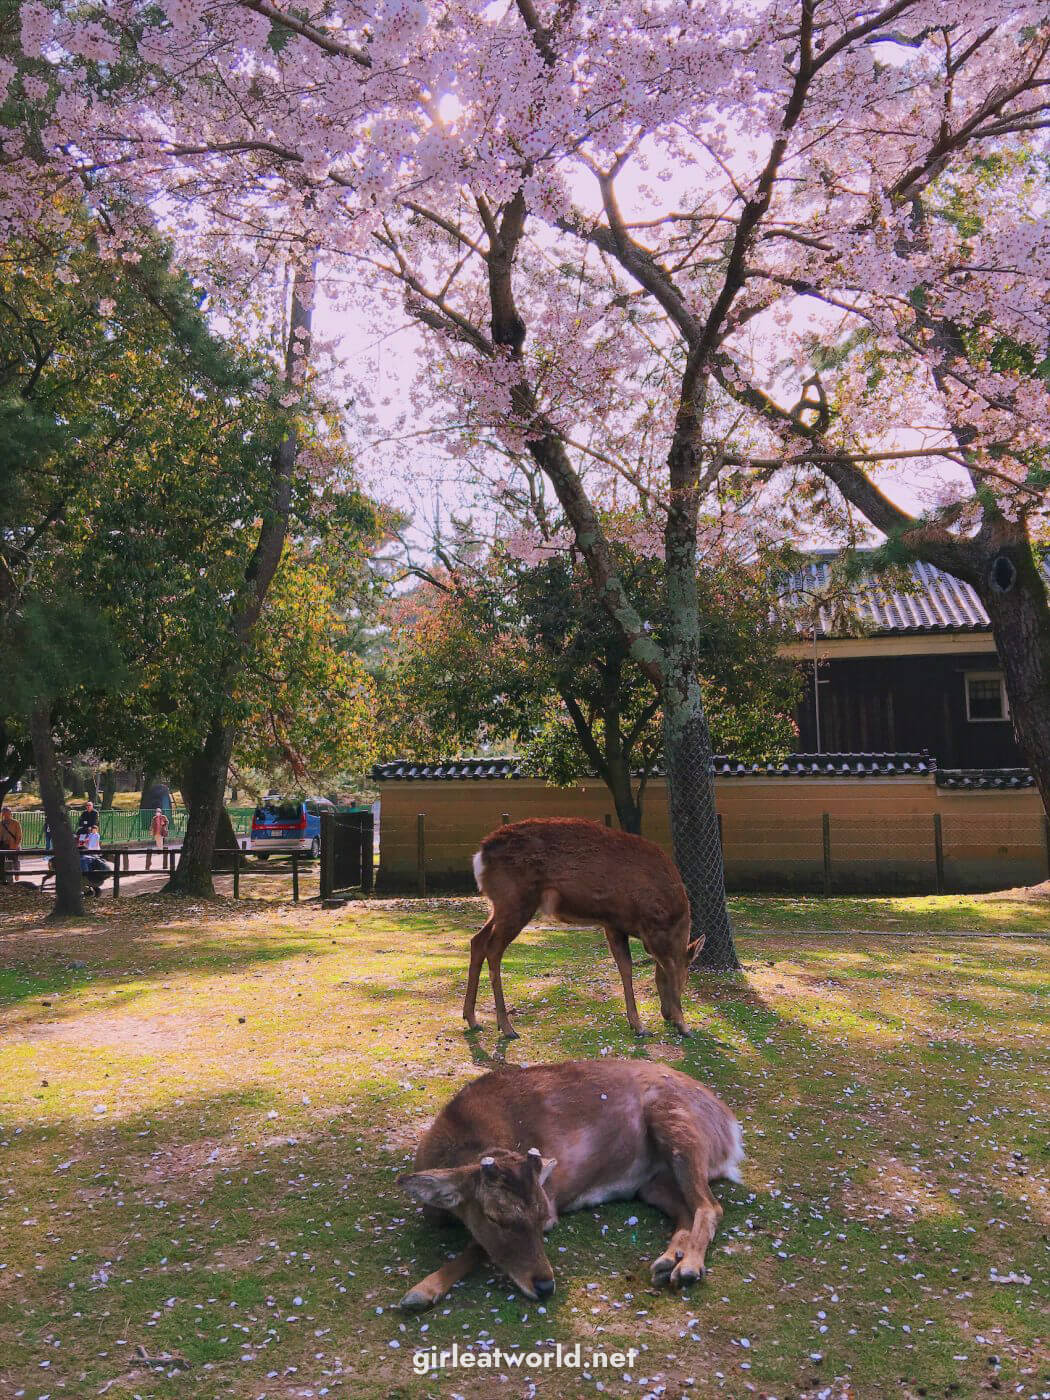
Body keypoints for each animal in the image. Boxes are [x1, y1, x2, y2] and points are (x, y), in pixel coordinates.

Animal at [394, 1058, 739, 1310]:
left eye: (541, 1218)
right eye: (494, 1217)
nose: (545, 1285)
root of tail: (731, 1129)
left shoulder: (550, 1203)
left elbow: (477, 1246)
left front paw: (421, 1291)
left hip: (678, 1127)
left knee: (710, 1206)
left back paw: (689, 1267)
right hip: (652, 1184)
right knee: (686, 1209)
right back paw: (668, 1262)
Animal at [467, 817, 700, 1036]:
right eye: (688, 976)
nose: (666, 1014)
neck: (675, 919)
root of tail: (480, 856)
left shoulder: (614, 924)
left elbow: (626, 968)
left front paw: (637, 1025)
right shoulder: (653, 930)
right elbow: (668, 969)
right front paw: (683, 1026)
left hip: (501, 905)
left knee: (477, 940)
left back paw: (472, 1019)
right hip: (516, 901)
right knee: (493, 949)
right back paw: (506, 1027)